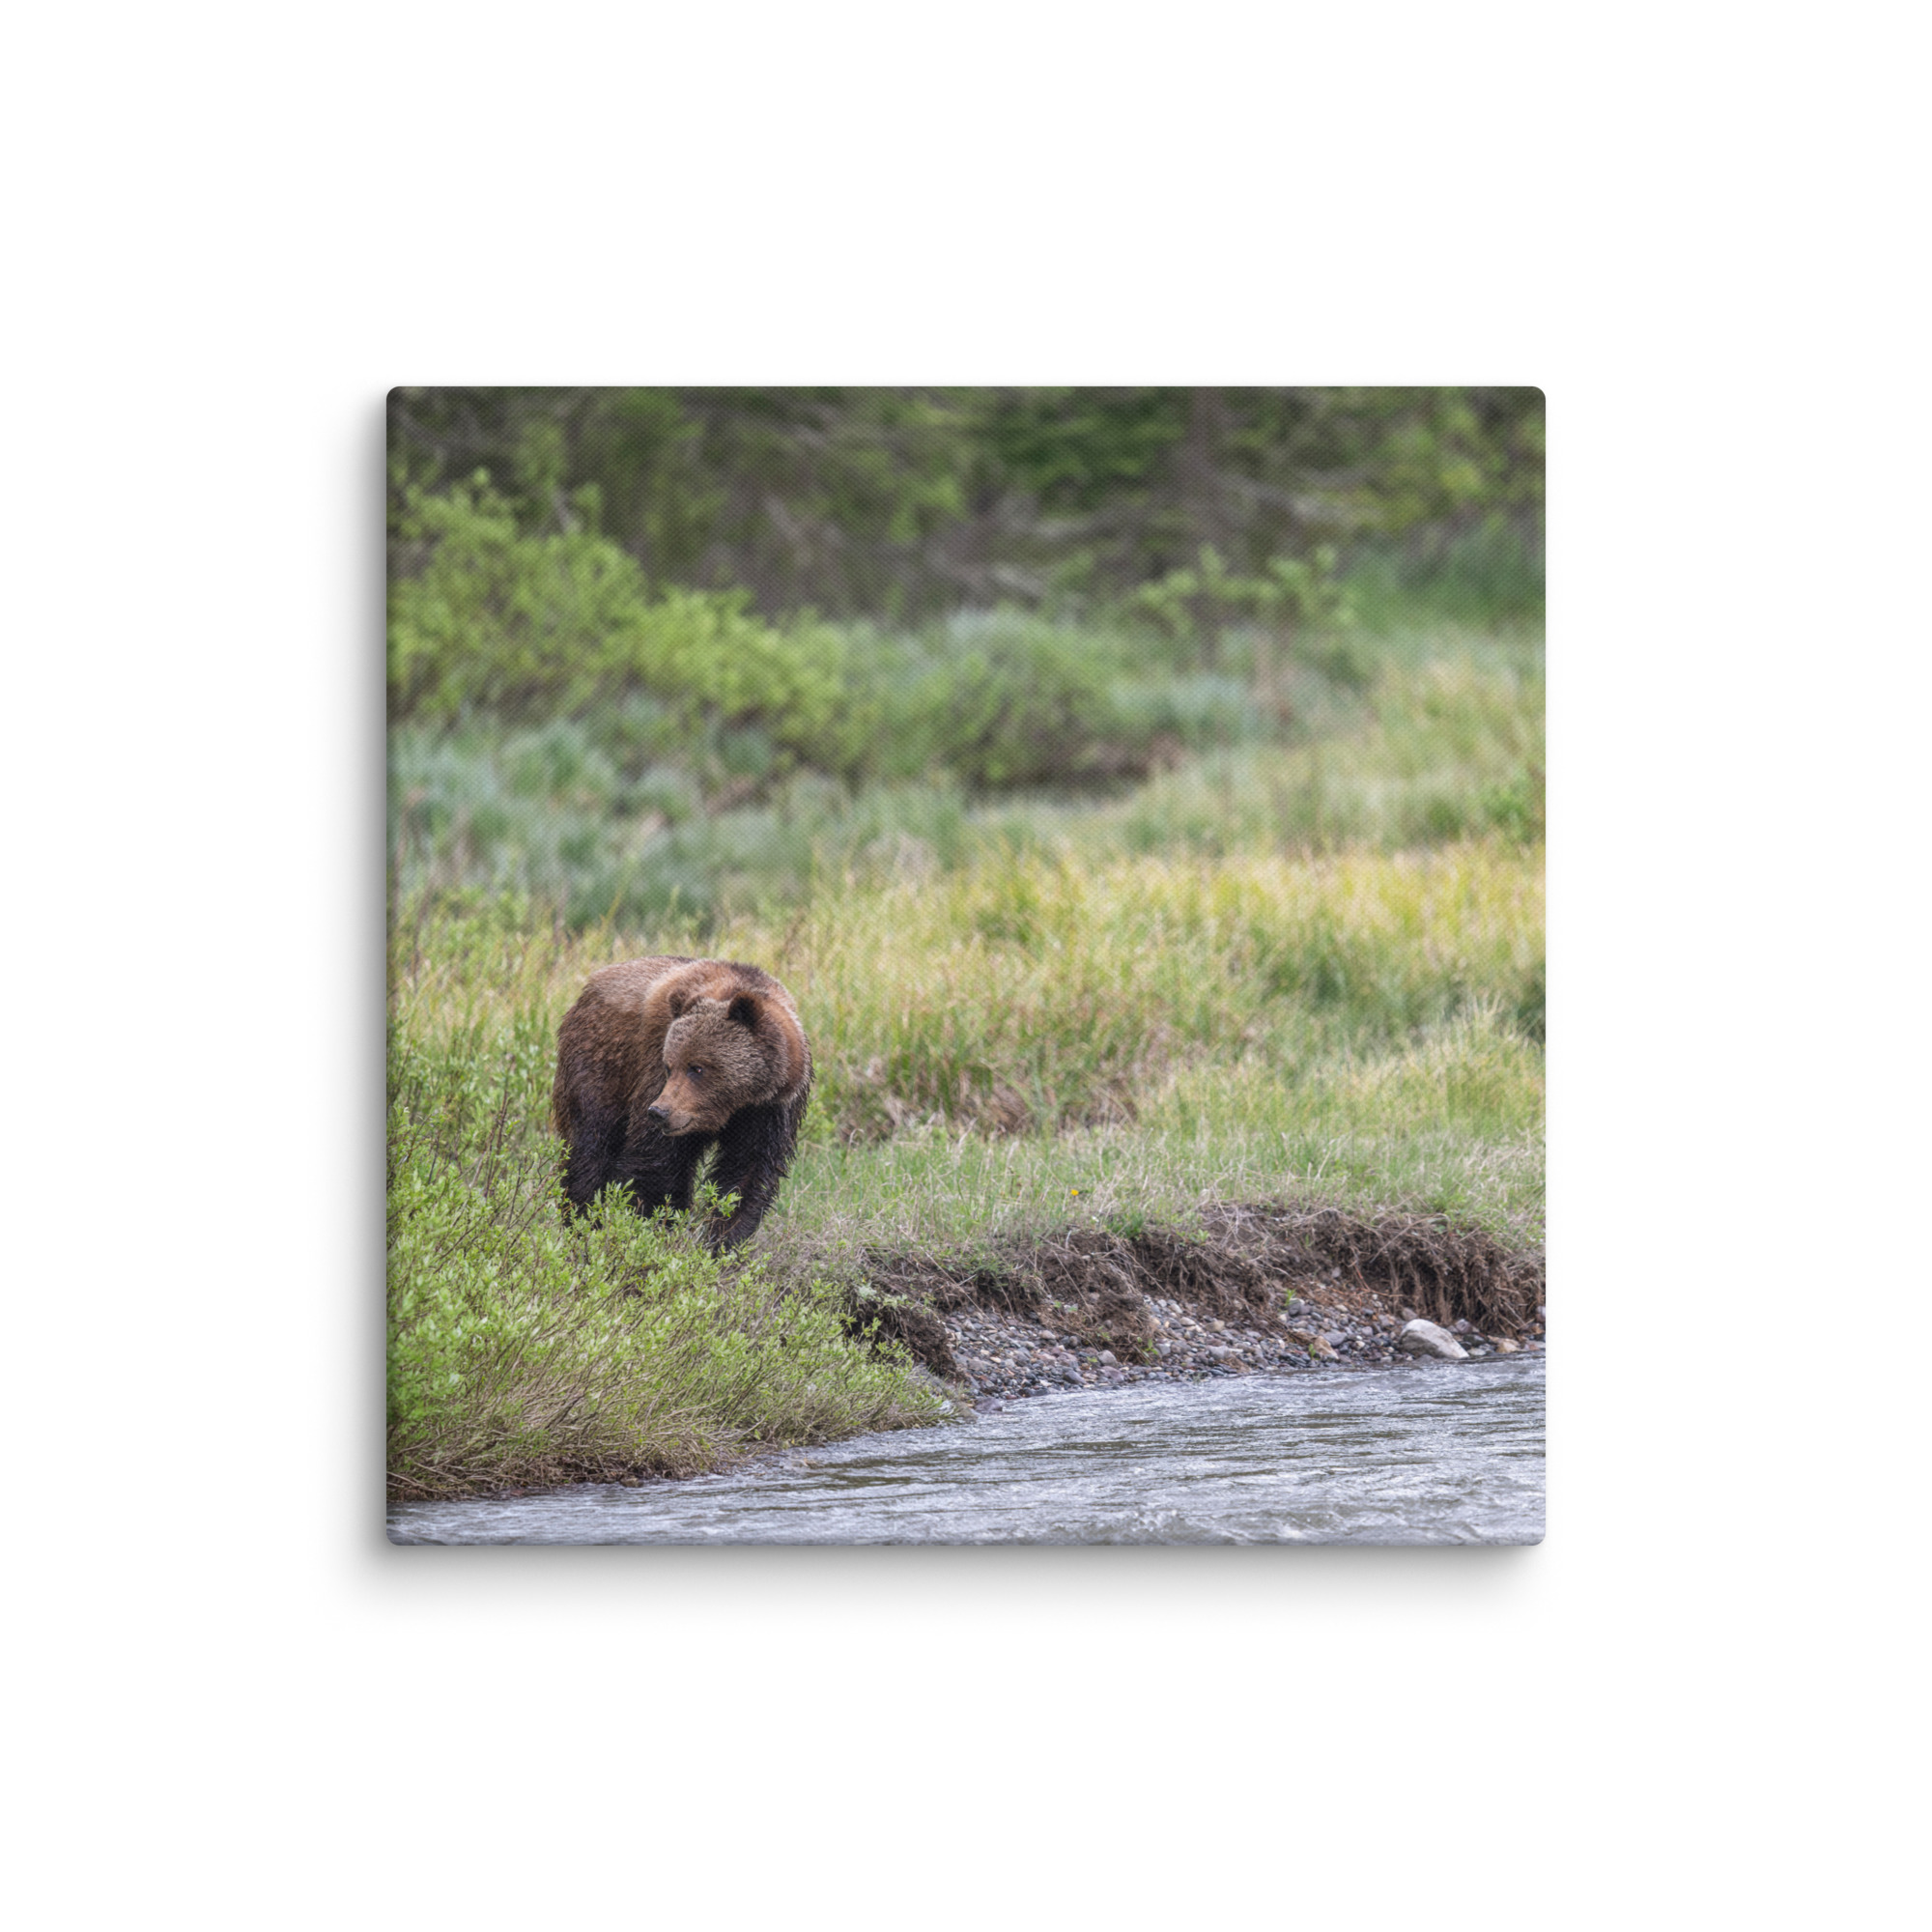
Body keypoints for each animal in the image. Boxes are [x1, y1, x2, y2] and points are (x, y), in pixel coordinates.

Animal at [551, 955, 812, 1249]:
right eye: (670, 1066)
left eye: (697, 1068)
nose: (659, 1112)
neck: (735, 1104)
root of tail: (590, 985)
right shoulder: (653, 1070)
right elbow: (656, 1163)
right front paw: (652, 1227)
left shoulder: (770, 1110)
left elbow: (747, 1173)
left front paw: (723, 1241)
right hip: (601, 1064)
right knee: (590, 1146)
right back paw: (582, 1224)